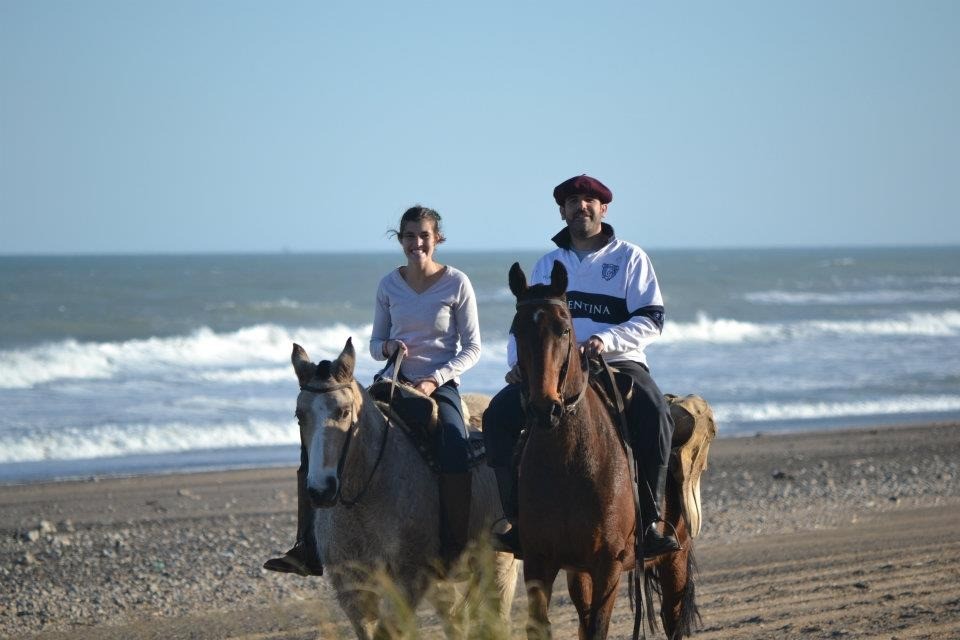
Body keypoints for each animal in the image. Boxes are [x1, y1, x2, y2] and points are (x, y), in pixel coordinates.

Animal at [290, 338, 516, 636]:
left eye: (344, 411)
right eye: (299, 415)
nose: (321, 490)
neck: (364, 498)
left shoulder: (408, 580)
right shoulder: (352, 588)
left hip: (499, 563)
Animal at [510, 262, 696, 640]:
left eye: (564, 329)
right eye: (516, 331)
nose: (544, 409)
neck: (568, 464)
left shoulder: (606, 566)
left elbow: (598, 627)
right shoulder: (540, 562)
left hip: (675, 562)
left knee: (672, 619)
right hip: (577, 571)